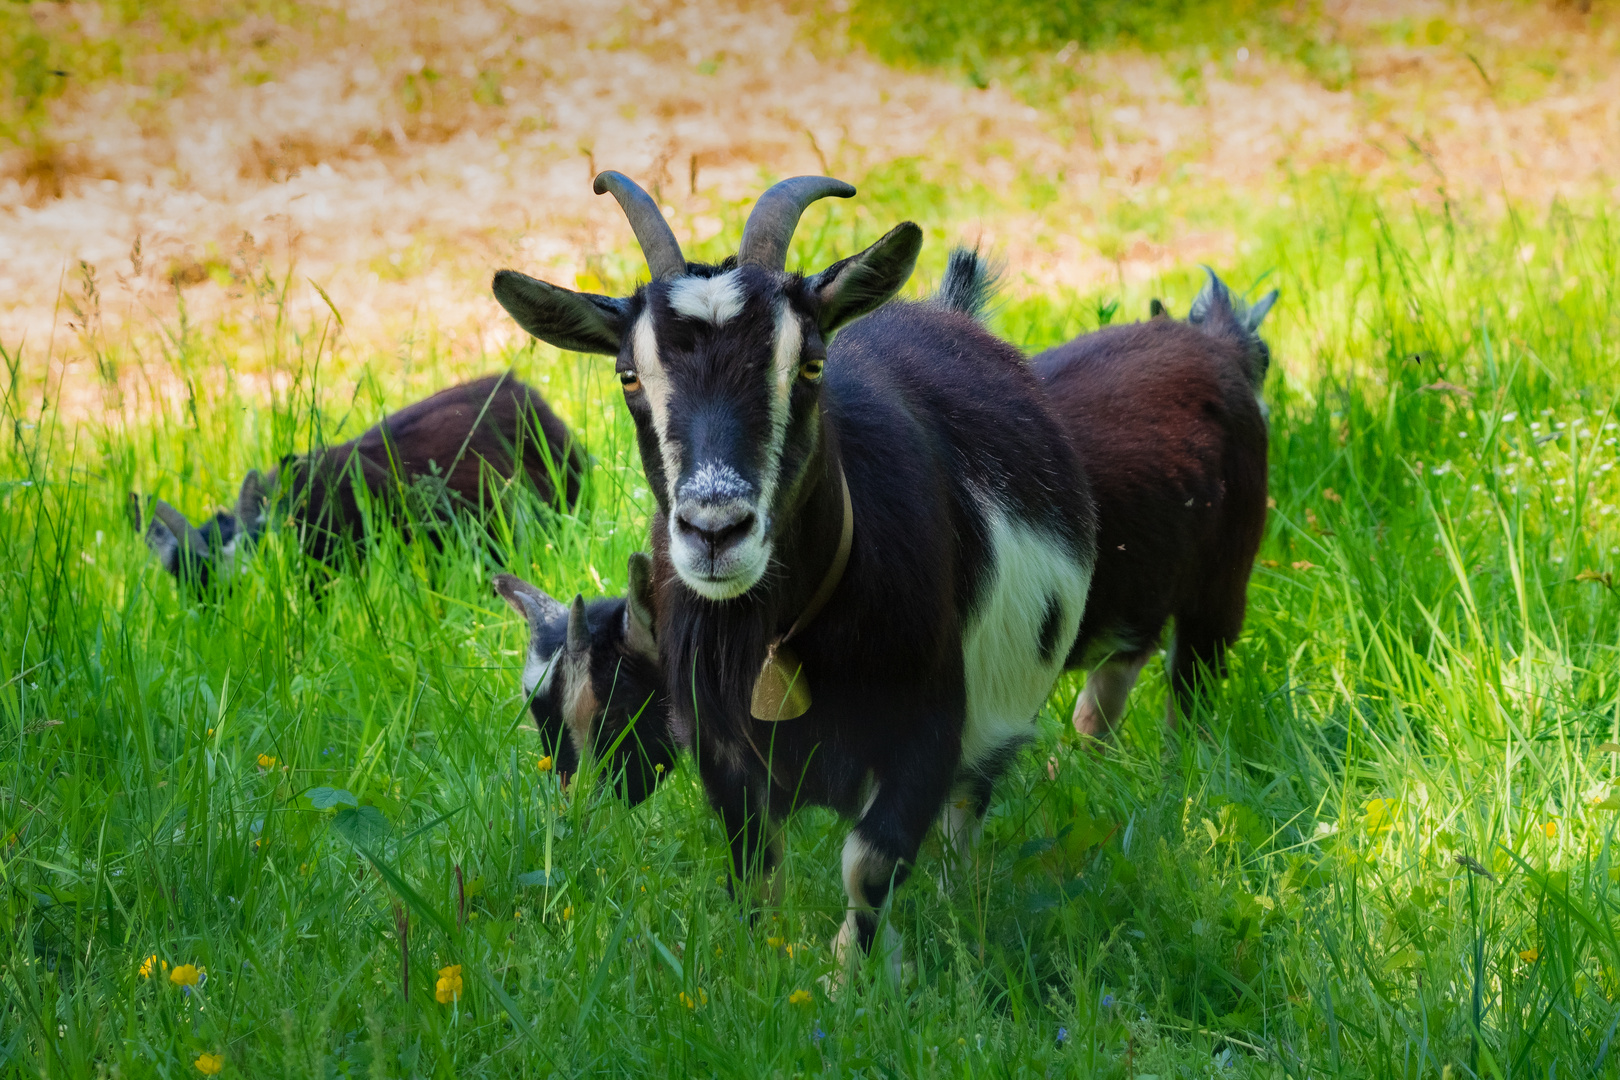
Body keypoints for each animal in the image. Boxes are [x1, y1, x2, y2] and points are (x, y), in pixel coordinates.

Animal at [489, 173, 1101, 965]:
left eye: (809, 364)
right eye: (628, 375)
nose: (715, 529)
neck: (781, 634)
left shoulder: (930, 725)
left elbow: (869, 863)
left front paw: (848, 979)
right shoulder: (720, 743)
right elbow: (755, 868)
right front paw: (764, 970)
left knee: (964, 811)